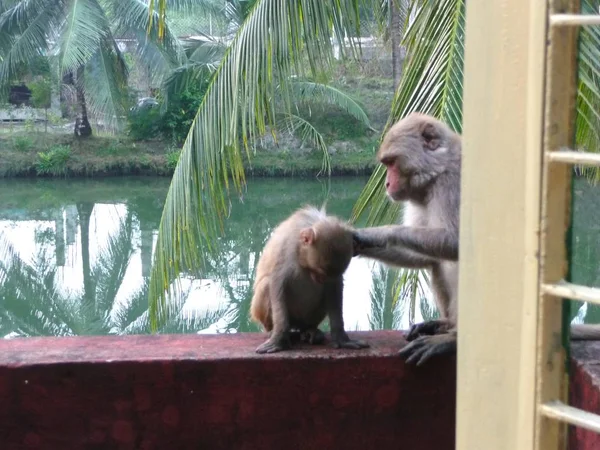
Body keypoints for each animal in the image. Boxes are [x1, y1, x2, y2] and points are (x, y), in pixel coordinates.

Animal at [250, 206, 370, 354]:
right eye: (319, 271)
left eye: (326, 275)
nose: (320, 279)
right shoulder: (285, 249)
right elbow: (277, 284)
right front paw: (279, 339)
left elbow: (334, 289)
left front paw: (341, 338)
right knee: (266, 285)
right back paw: (274, 331)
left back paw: (309, 330)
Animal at [352, 112, 600, 366]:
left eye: (392, 163)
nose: (387, 183)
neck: (436, 174)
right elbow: (424, 257)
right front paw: (358, 240)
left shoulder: (453, 184)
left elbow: (458, 243)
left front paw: (377, 233)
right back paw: (445, 324)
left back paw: (453, 339)